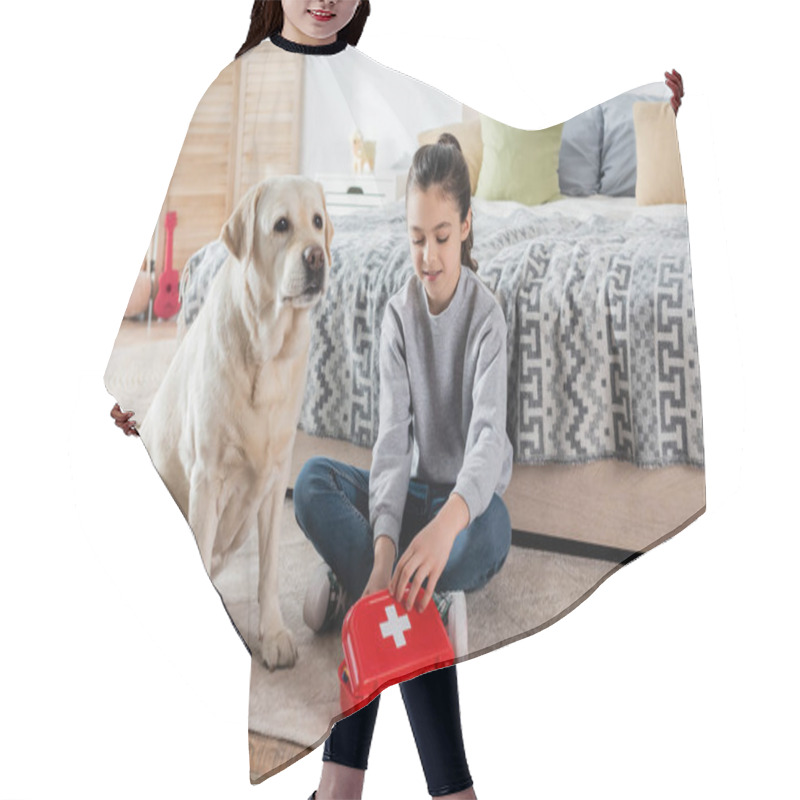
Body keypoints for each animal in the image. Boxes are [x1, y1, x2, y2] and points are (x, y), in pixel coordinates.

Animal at [139, 175, 332, 668]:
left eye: (317, 222)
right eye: (281, 225)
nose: (317, 257)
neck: (267, 350)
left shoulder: (275, 480)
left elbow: (268, 570)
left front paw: (273, 633)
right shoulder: (206, 479)